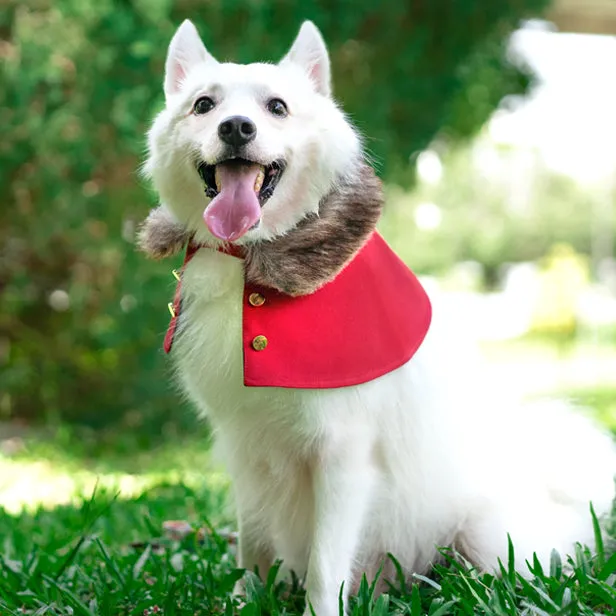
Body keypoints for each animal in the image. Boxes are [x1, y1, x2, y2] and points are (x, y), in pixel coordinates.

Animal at [140, 19, 616, 616]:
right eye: (204, 104)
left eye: (277, 107)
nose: (236, 127)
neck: (256, 261)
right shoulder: (248, 448)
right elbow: (254, 544)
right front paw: (247, 600)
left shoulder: (341, 456)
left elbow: (325, 566)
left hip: (487, 538)